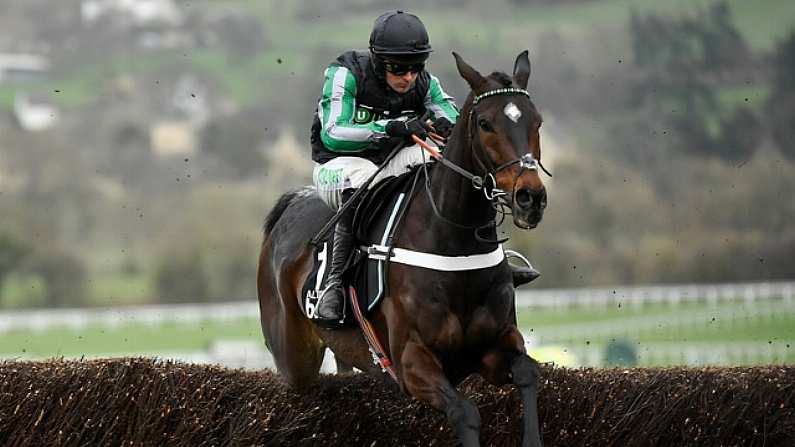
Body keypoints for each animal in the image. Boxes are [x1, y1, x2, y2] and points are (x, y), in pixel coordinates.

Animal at [258, 51, 552, 447]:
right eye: (486, 123)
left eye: (537, 121)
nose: (530, 198)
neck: (452, 243)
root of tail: (292, 203)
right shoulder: (411, 362)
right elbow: (466, 413)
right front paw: (405, 125)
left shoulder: (492, 347)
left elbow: (528, 373)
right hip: (294, 355)